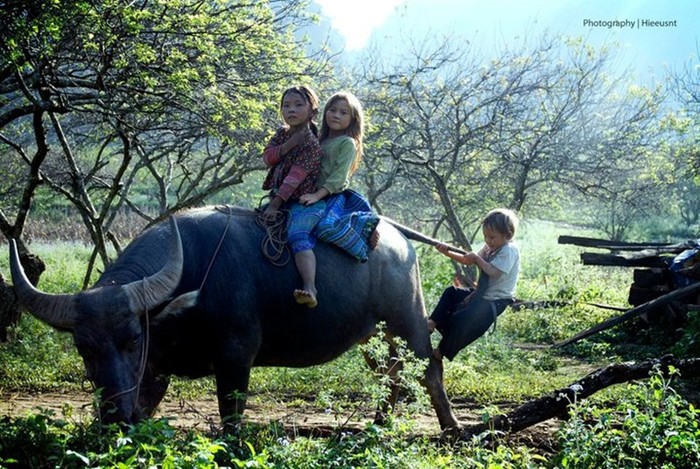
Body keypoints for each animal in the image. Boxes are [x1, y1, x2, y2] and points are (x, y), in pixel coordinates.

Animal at [12, 207, 460, 430]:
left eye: (133, 338)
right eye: (83, 347)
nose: (112, 417)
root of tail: (400, 240)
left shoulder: (234, 358)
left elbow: (231, 419)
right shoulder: (154, 369)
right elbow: (145, 406)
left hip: (408, 321)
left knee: (428, 368)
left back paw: (452, 429)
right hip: (371, 335)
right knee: (391, 374)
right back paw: (378, 425)